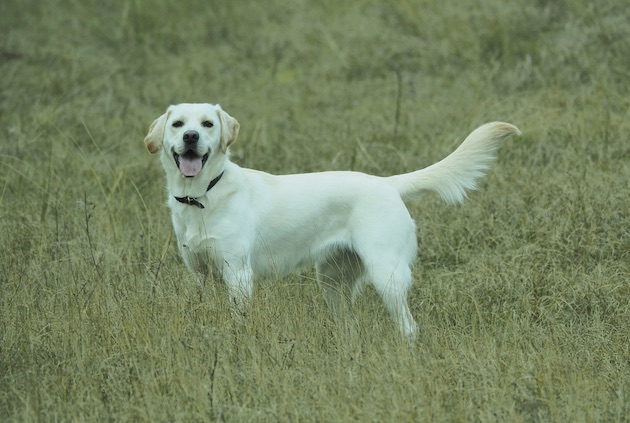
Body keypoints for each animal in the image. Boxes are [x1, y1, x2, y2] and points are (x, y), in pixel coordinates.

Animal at [144, 104, 524, 340]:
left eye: (207, 124)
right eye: (178, 124)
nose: (191, 137)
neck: (202, 196)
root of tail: (388, 183)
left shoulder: (238, 273)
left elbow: (239, 318)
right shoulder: (201, 274)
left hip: (386, 274)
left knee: (408, 327)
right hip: (332, 282)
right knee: (349, 326)